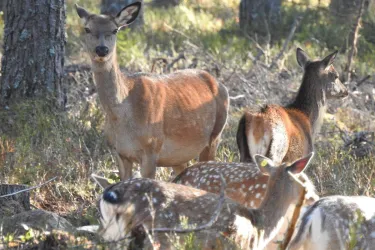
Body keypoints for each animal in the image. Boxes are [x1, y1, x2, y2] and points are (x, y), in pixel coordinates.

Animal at [75, 1, 231, 180]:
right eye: (87, 29)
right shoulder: (119, 151)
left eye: (115, 29)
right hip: (178, 157)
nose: (102, 49)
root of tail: (219, 84)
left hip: (215, 136)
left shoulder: (152, 147)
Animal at [98, 151, 316, 249]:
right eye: (304, 179)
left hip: (113, 233)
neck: (259, 228)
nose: (314, 197)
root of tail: (110, 194)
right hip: (155, 234)